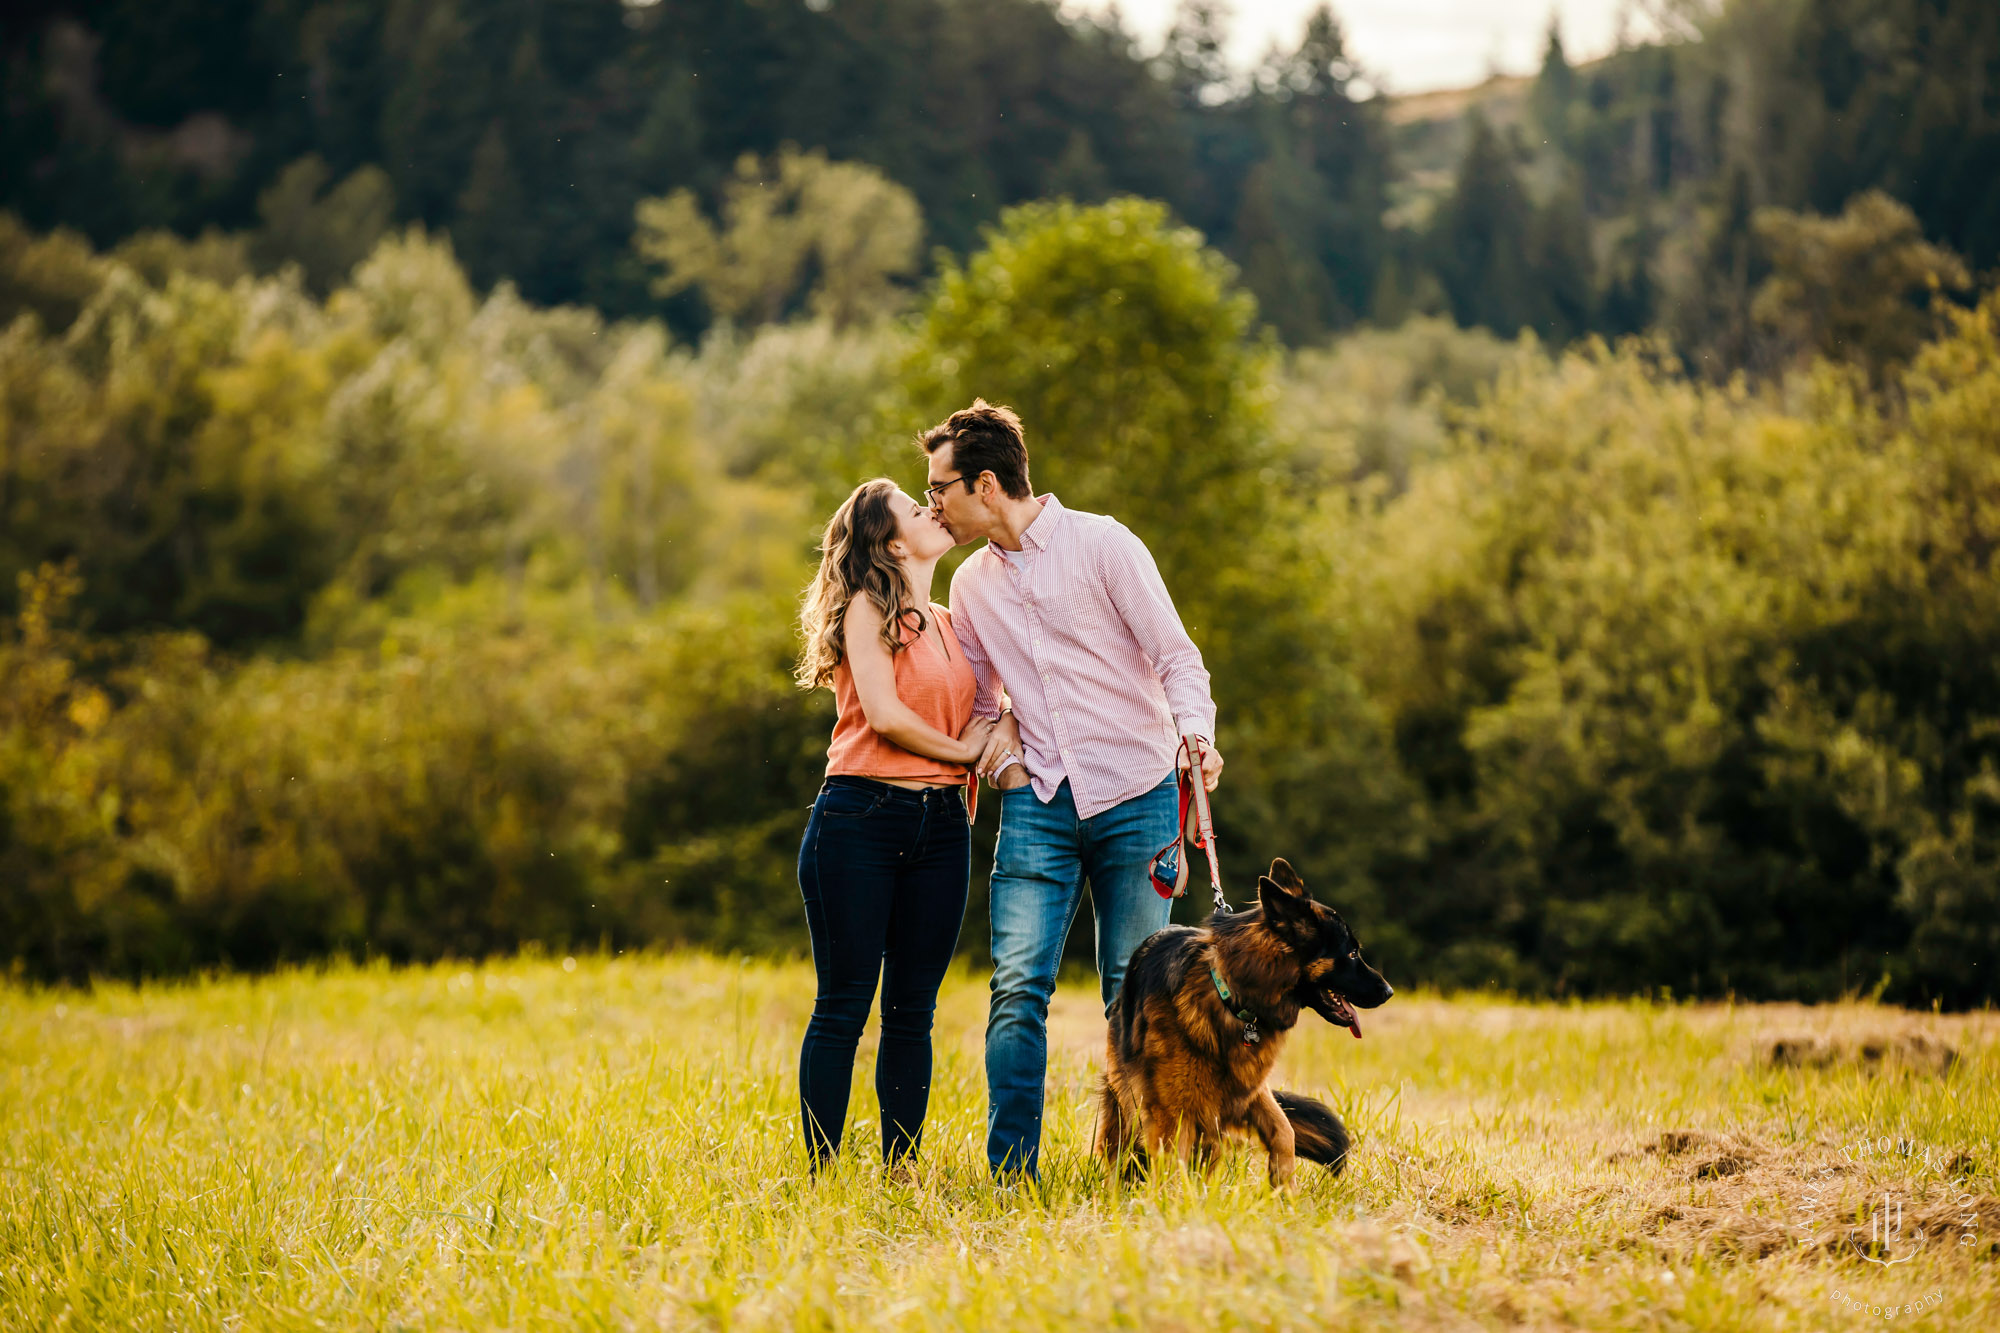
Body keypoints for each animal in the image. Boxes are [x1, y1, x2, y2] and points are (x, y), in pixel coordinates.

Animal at [1096, 856, 1392, 1184]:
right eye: (1351, 953)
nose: (1389, 991)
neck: (1230, 995)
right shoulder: (1172, 1112)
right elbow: (1174, 1167)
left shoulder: (1247, 1089)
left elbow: (1284, 1130)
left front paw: (1283, 1185)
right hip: (1129, 1100)